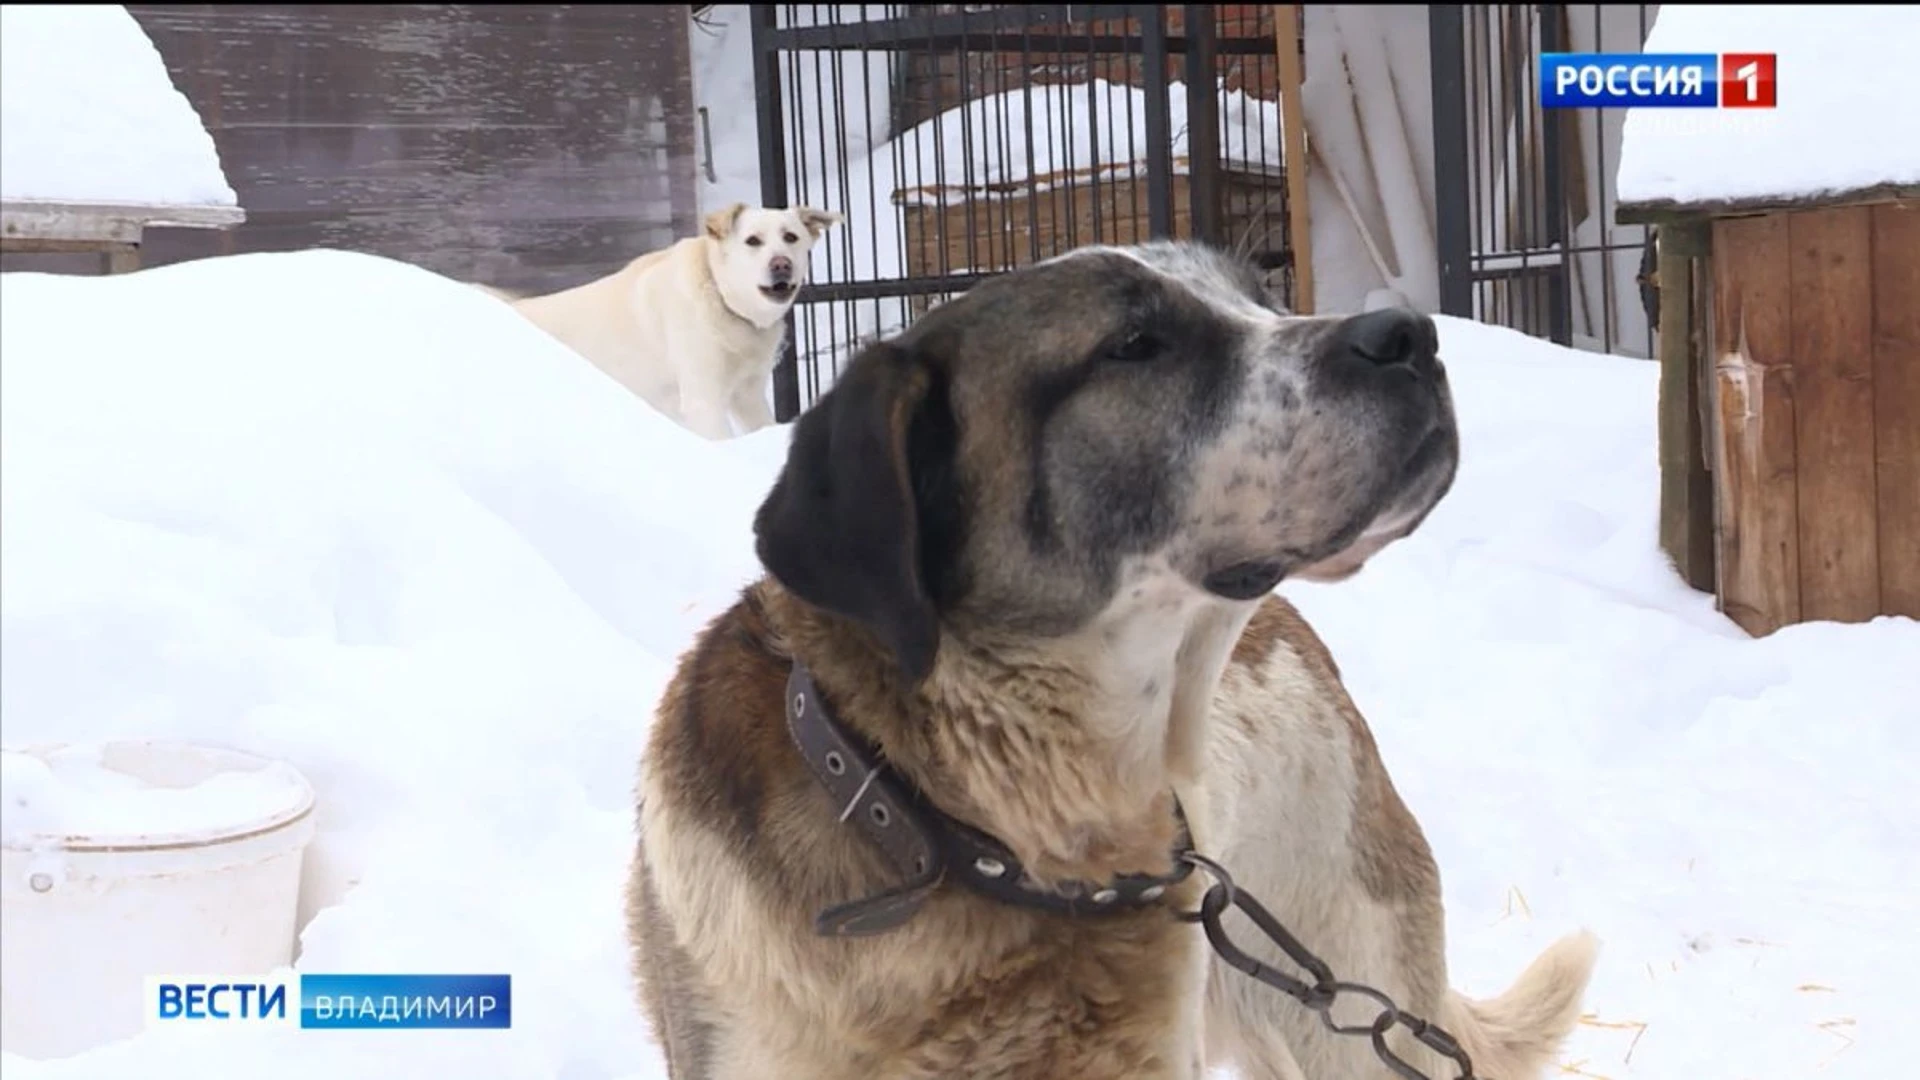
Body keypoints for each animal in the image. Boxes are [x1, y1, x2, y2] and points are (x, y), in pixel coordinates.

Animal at [506, 201, 844, 438]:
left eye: (790, 237)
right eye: (752, 241)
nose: (782, 264)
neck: (722, 300)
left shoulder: (748, 394)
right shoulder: (703, 398)